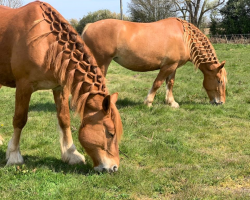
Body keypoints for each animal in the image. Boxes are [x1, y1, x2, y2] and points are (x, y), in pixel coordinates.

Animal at [0, 1, 123, 173]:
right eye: (110, 133)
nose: (114, 167)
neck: (47, 43)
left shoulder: (60, 87)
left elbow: (64, 119)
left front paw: (71, 154)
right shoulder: (24, 86)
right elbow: (19, 120)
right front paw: (13, 156)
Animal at [82, 18, 227, 108]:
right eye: (219, 81)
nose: (221, 102)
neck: (185, 38)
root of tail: (89, 26)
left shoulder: (173, 66)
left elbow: (170, 83)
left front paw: (171, 102)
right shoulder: (167, 66)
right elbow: (157, 83)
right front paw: (148, 102)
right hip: (101, 62)